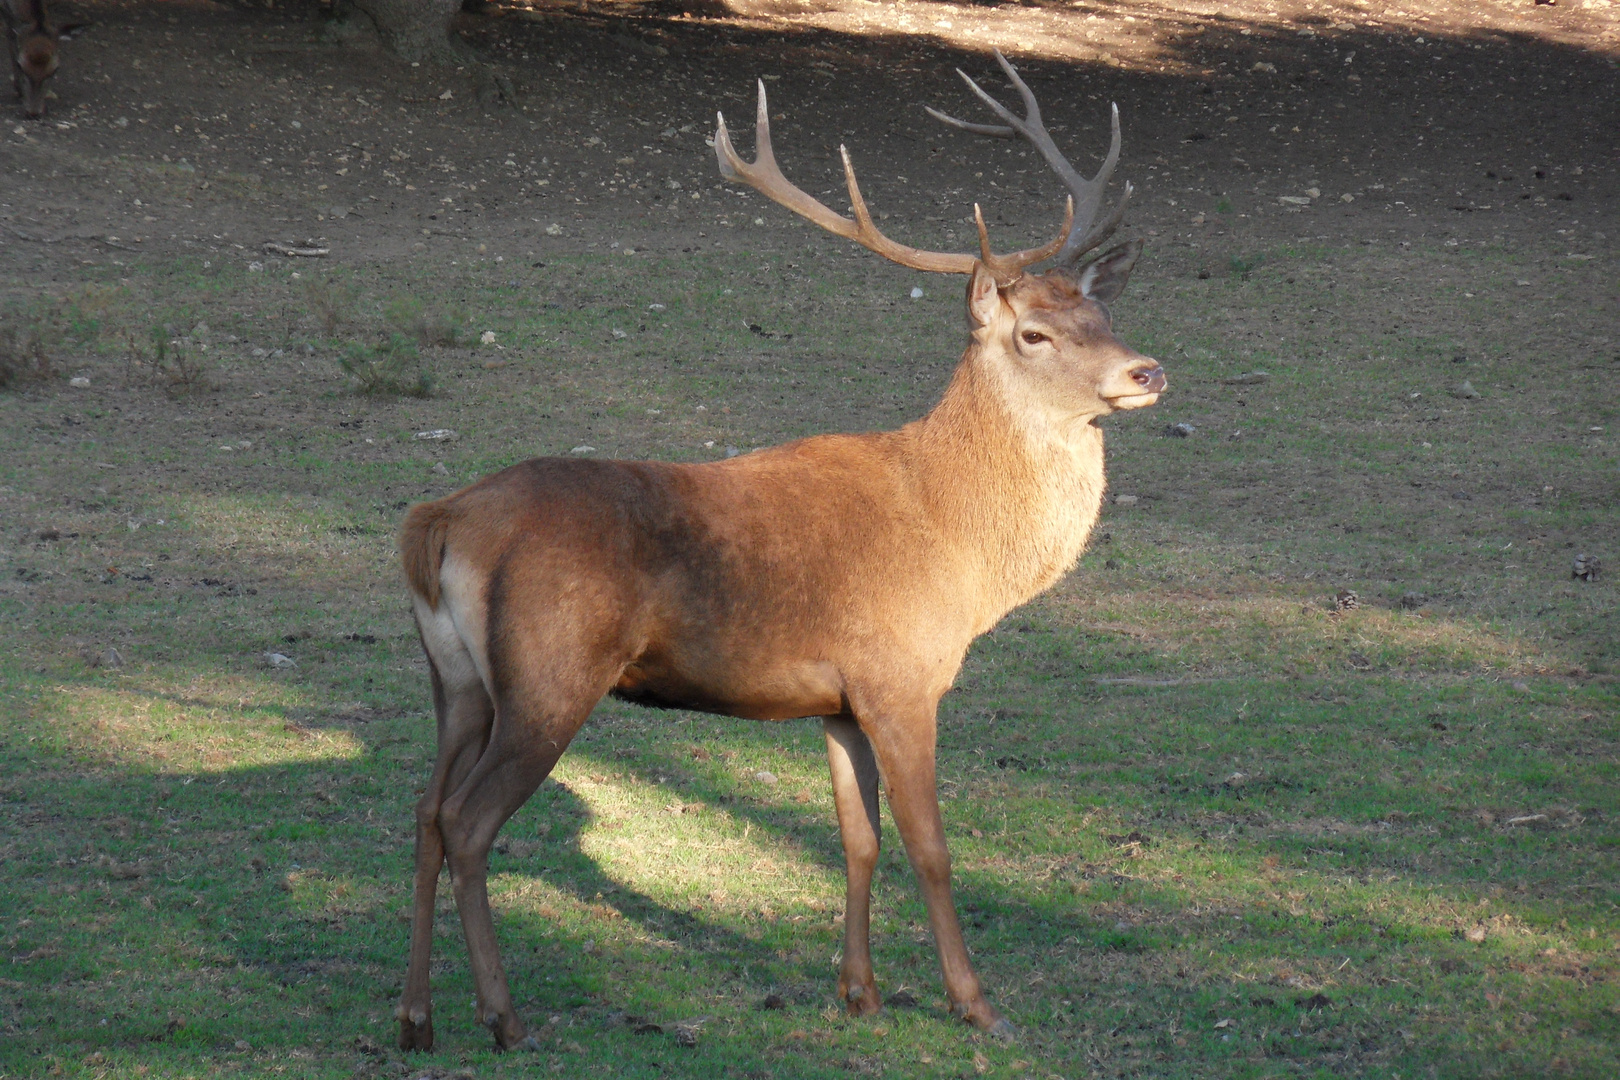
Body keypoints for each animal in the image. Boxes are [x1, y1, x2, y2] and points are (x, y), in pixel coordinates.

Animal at [392, 55, 1166, 1049]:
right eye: (1034, 331)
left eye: (1103, 309)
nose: (1146, 371)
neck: (958, 549)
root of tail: (438, 520)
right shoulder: (901, 676)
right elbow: (932, 847)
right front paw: (977, 1003)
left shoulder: (838, 700)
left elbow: (857, 840)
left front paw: (860, 992)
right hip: (548, 674)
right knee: (467, 820)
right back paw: (504, 1016)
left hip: (457, 681)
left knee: (424, 809)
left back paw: (416, 1017)